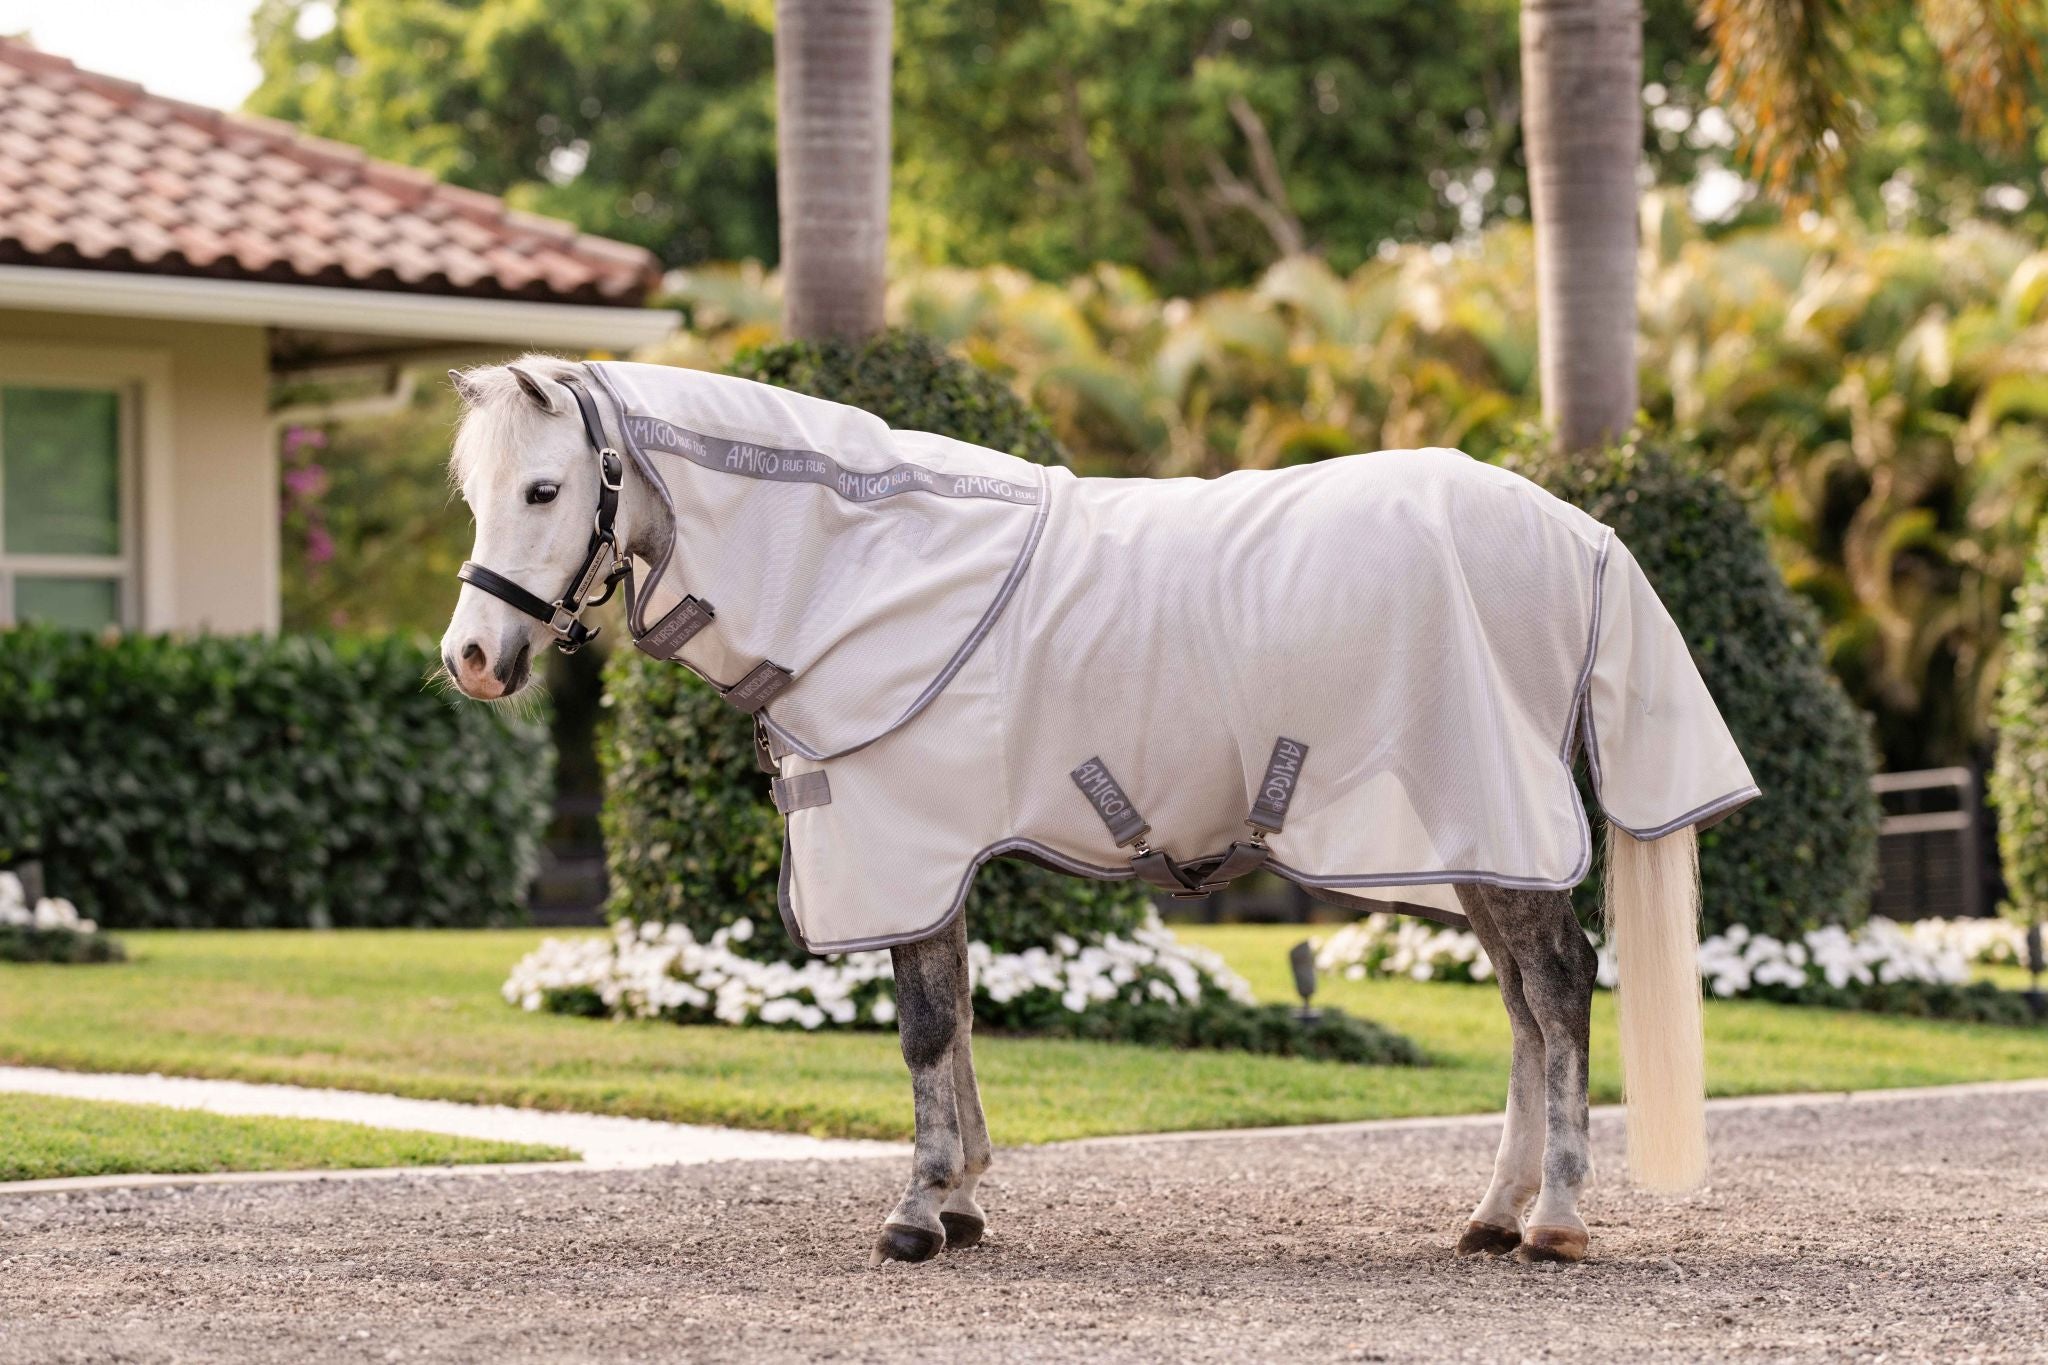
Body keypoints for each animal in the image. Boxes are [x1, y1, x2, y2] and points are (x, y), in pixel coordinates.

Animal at [439, 355, 1757, 1266]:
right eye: (472, 490)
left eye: (545, 488)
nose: (472, 659)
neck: (860, 565)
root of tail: (1575, 532)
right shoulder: (937, 856)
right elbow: (958, 1018)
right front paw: (963, 1197)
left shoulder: (906, 843)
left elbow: (923, 1028)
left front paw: (917, 1213)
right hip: (1474, 847)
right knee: (1528, 1009)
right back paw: (1491, 1214)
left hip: (1494, 827)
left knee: (1559, 991)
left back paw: (1555, 1220)